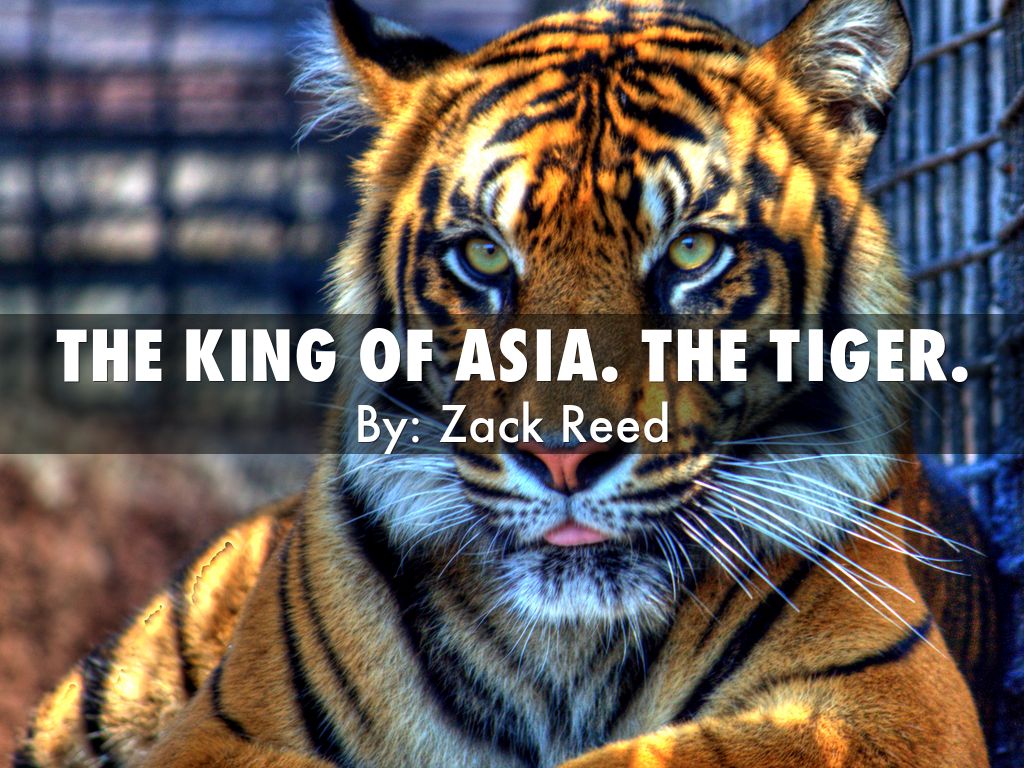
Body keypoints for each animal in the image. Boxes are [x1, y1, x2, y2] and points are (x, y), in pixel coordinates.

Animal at [15, 0, 997, 766]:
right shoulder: (226, 729)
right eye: (485, 255)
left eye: (691, 251)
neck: (565, 653)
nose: (563, 458)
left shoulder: (886, 708)